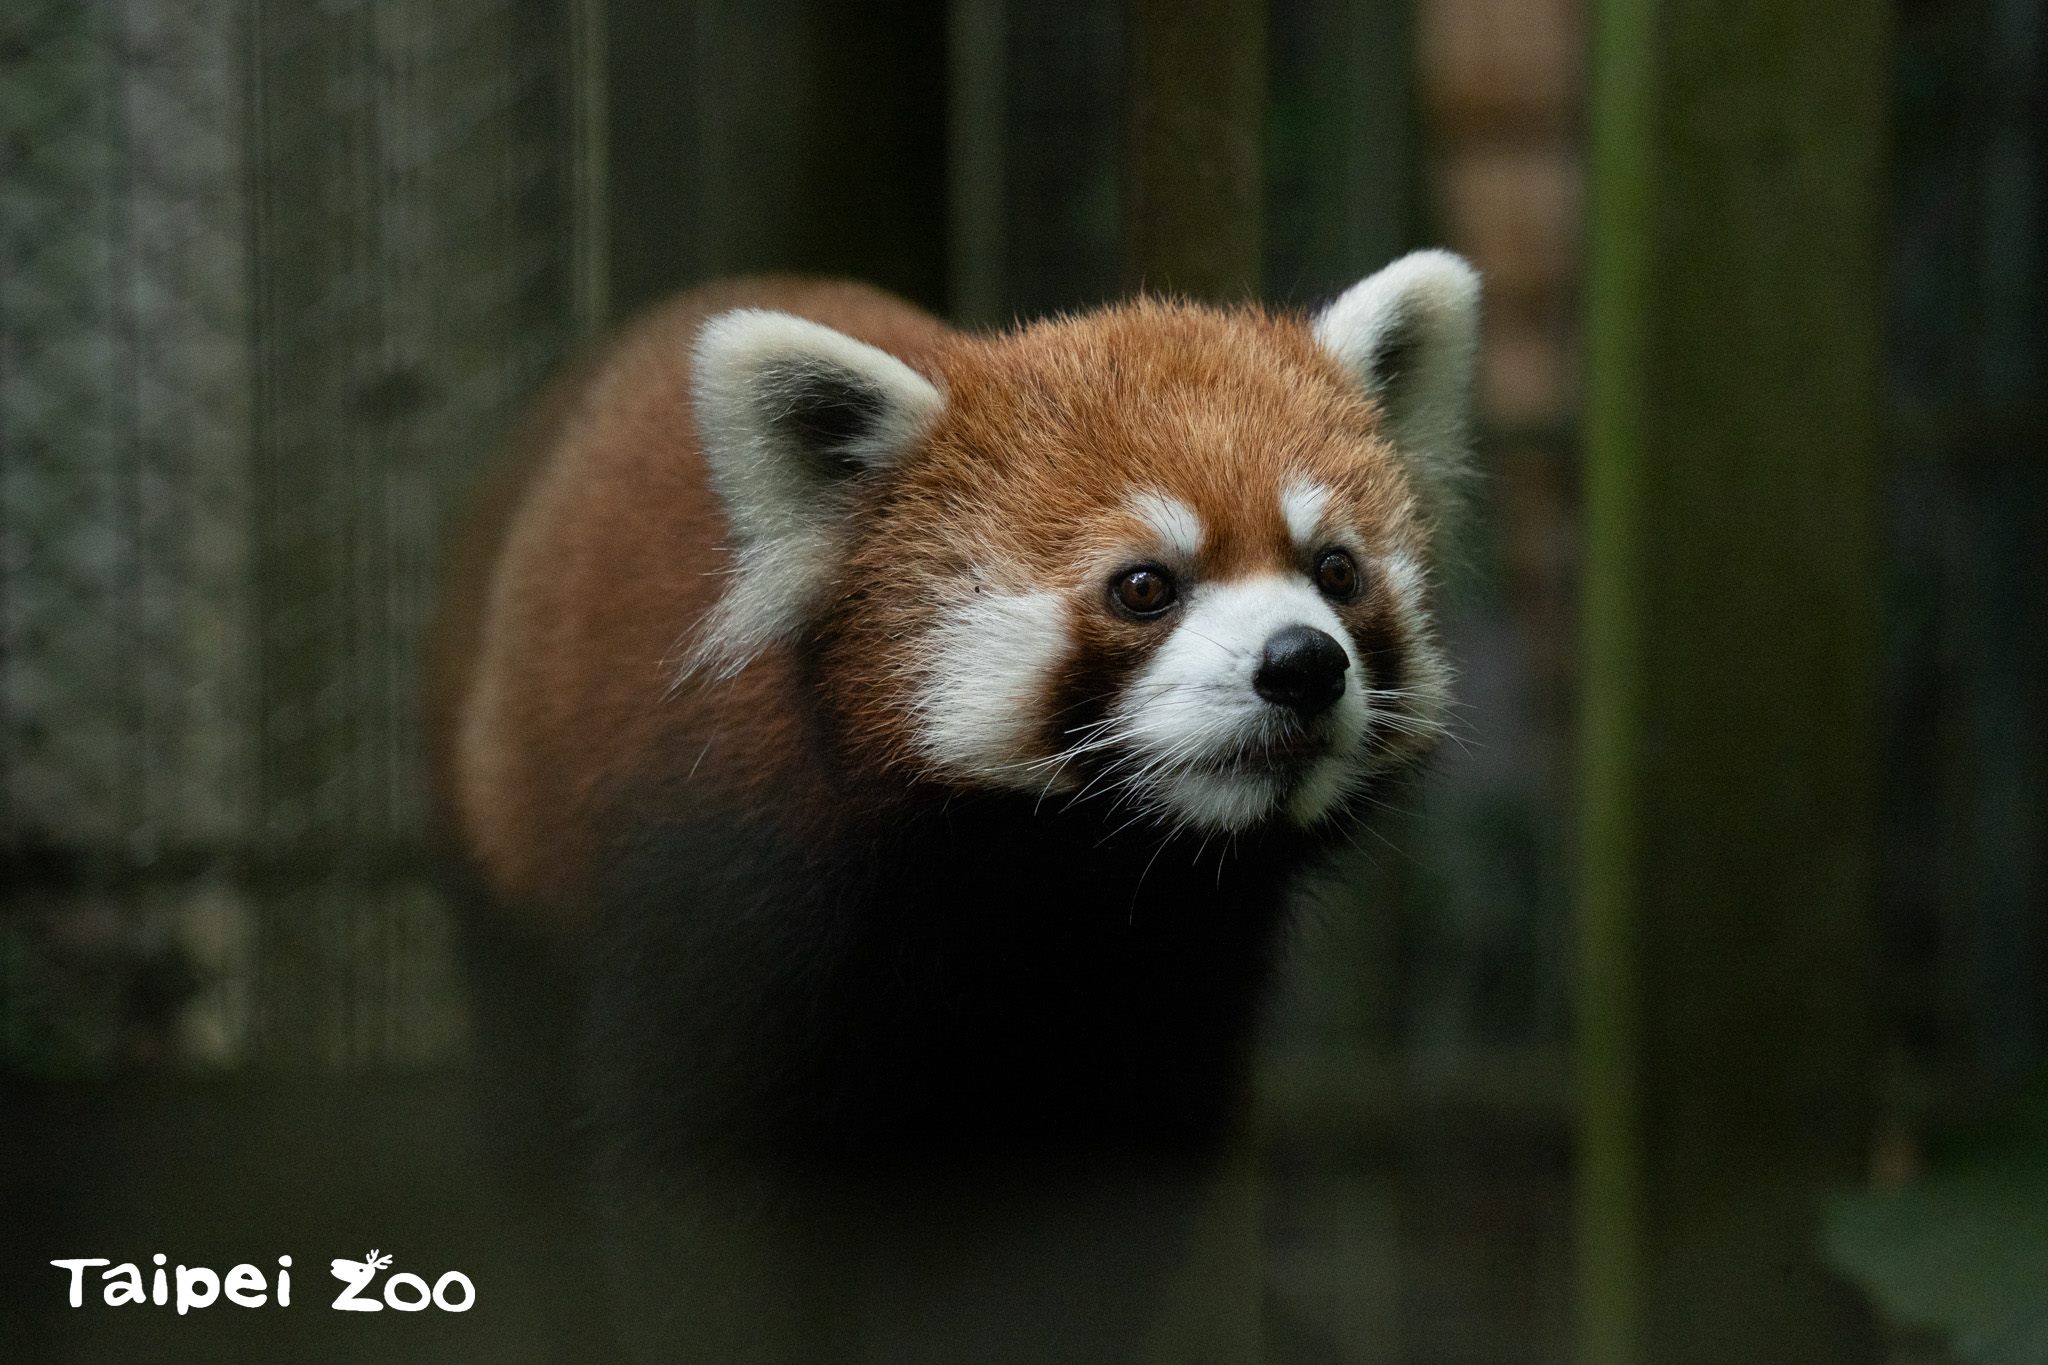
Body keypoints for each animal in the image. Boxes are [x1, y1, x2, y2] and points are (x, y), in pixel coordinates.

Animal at [428, 255, 1474, 1358]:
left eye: (1336, 571)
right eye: (1144, 586)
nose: (1303, 663)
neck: (1046, 879)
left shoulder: (1167, 994)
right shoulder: (723, 899)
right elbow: (700, 1215)